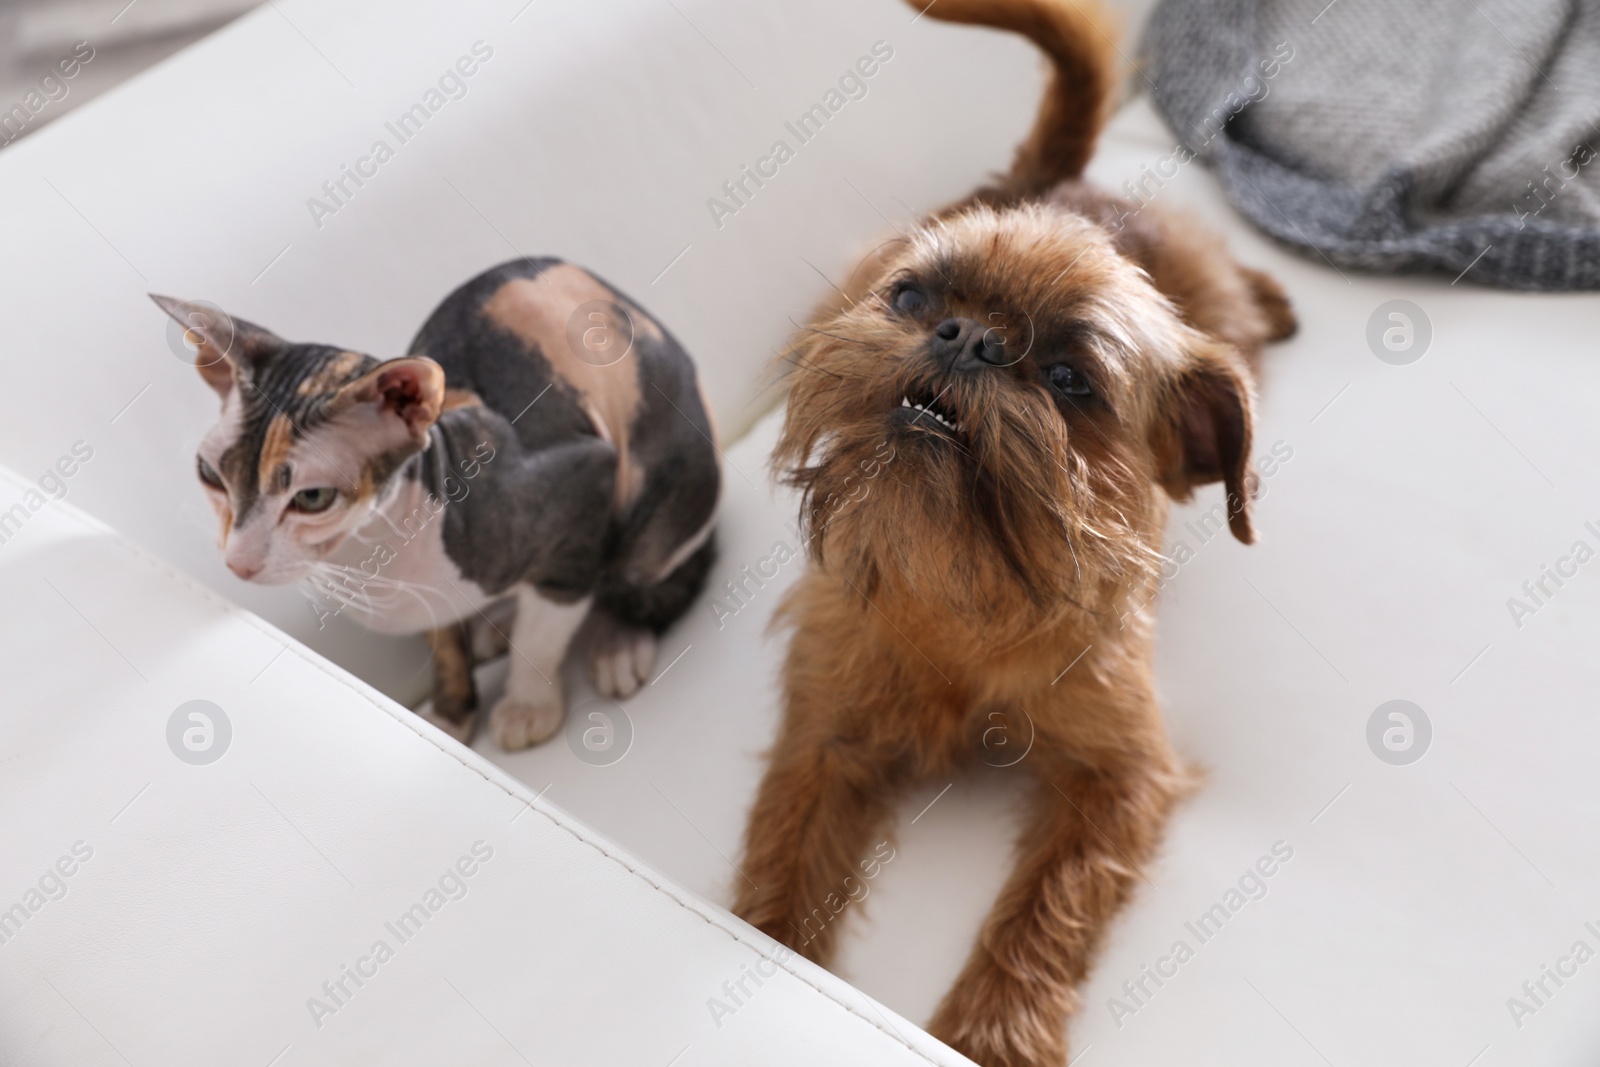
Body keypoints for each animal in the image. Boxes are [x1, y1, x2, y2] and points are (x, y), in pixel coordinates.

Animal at [732, 2, 1292, 1067]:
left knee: (1236, 292)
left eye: (1073, 381)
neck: (964, 590)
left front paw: (993, 1029)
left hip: (1223, 321)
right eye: (912, 298)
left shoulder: (1121, 774)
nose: (967, 336)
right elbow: (784, 860)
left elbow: (1048, 905)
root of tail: (1064, 182)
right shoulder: (824, 733)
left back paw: (1275, 298)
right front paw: (771, 945)